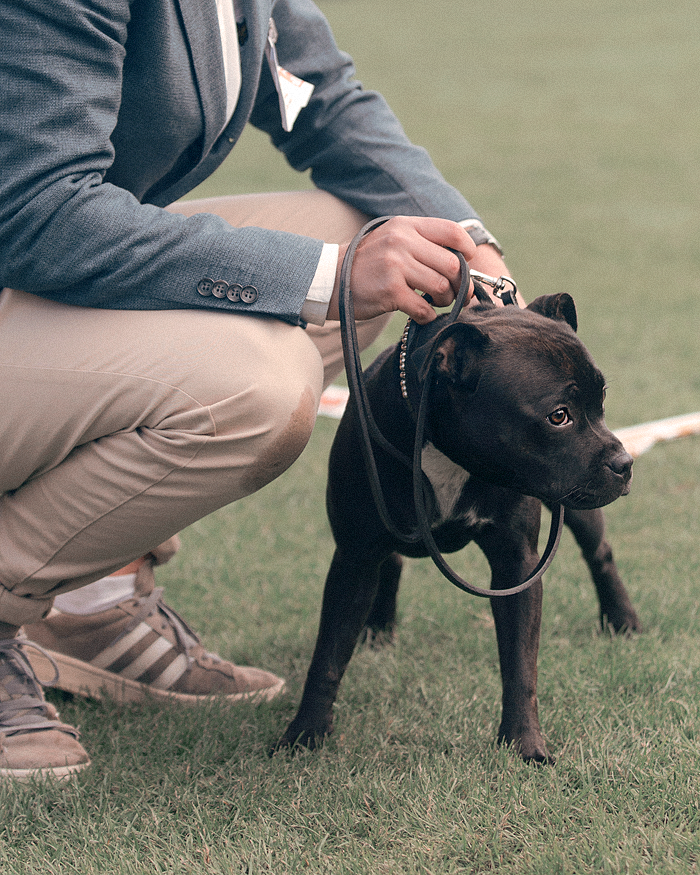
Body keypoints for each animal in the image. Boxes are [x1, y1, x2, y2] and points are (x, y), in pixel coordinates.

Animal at [278, 290, 640, 764]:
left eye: (601, 401)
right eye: (558, 416)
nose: (625, 462)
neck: (448, 455)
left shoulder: (516, 565)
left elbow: (520, 662)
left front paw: (524, 744)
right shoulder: (354, 556)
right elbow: (328, 655)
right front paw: (305, 734)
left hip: (578, 511)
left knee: (600, 554)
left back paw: (622, 619)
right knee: (391, 563)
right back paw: (378, 629)